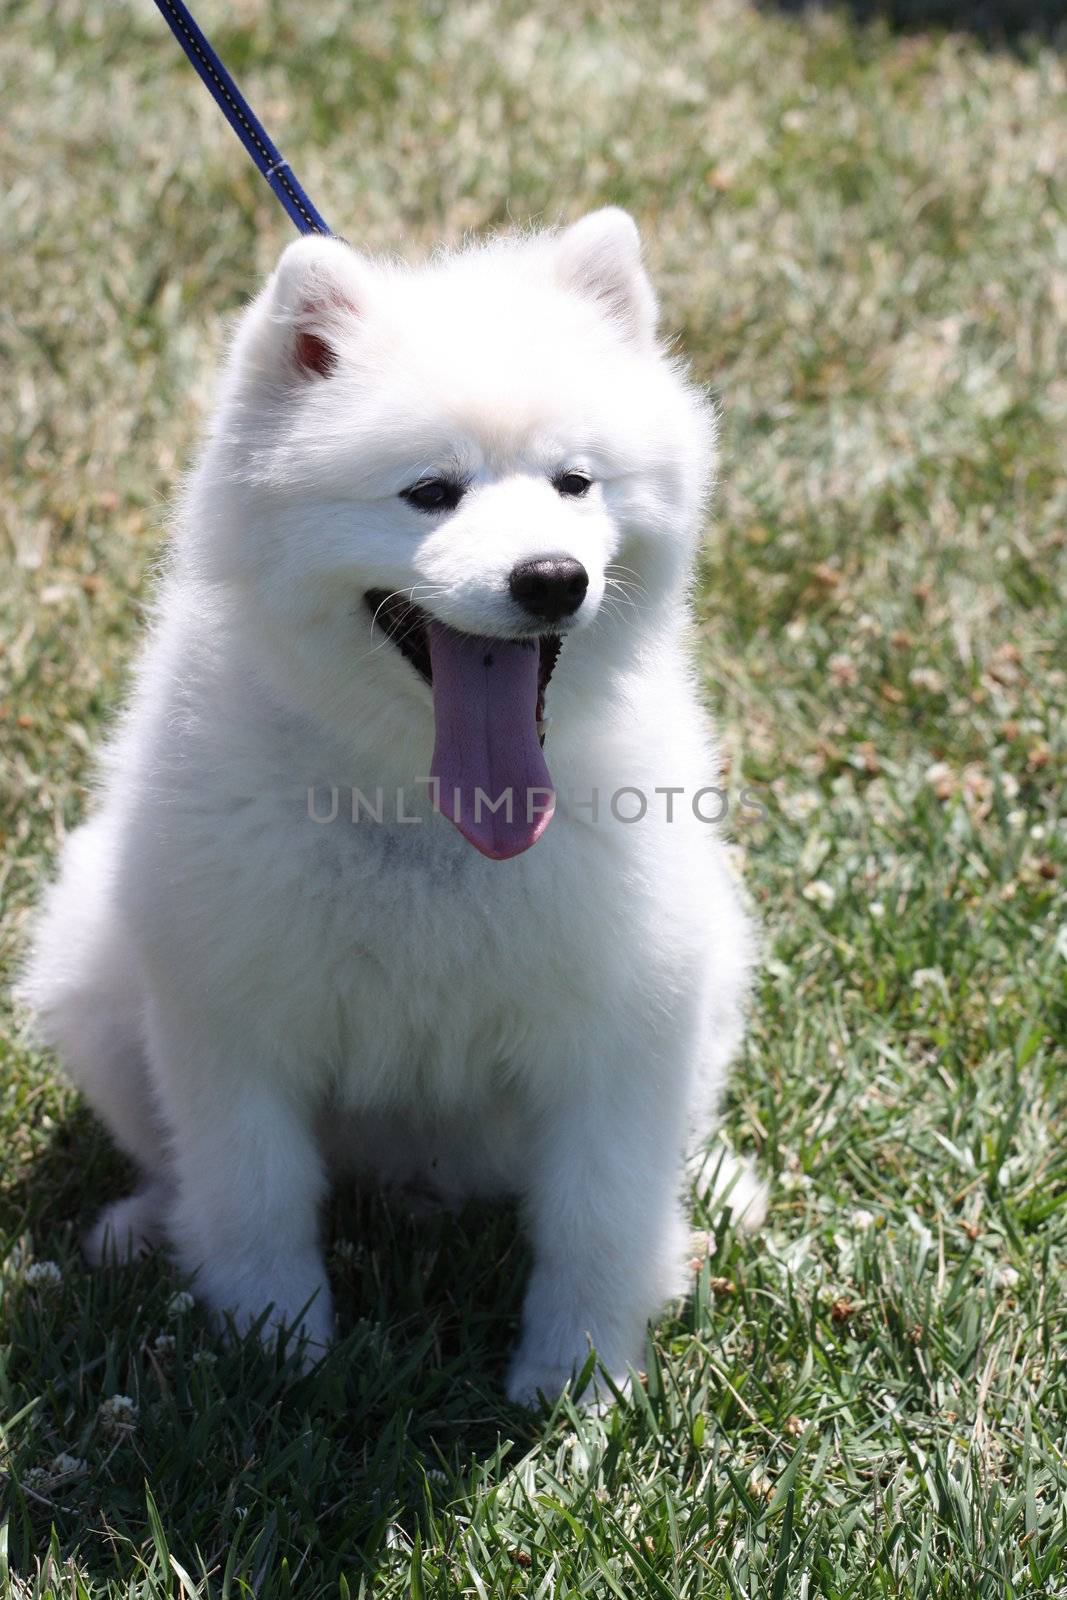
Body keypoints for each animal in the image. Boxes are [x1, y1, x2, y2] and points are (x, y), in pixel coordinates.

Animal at [20, 209, 764, 1401]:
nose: (551, 578)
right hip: (93, 970)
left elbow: (597, 1220)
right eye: (429, 491)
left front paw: (575, 1383)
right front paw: (278, 1345)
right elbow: (254, 1196)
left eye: (574, 483)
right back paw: (143, 1228)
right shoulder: (231, 1018)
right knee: (181, 1167)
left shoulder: (621, 1026)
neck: (428, 812)